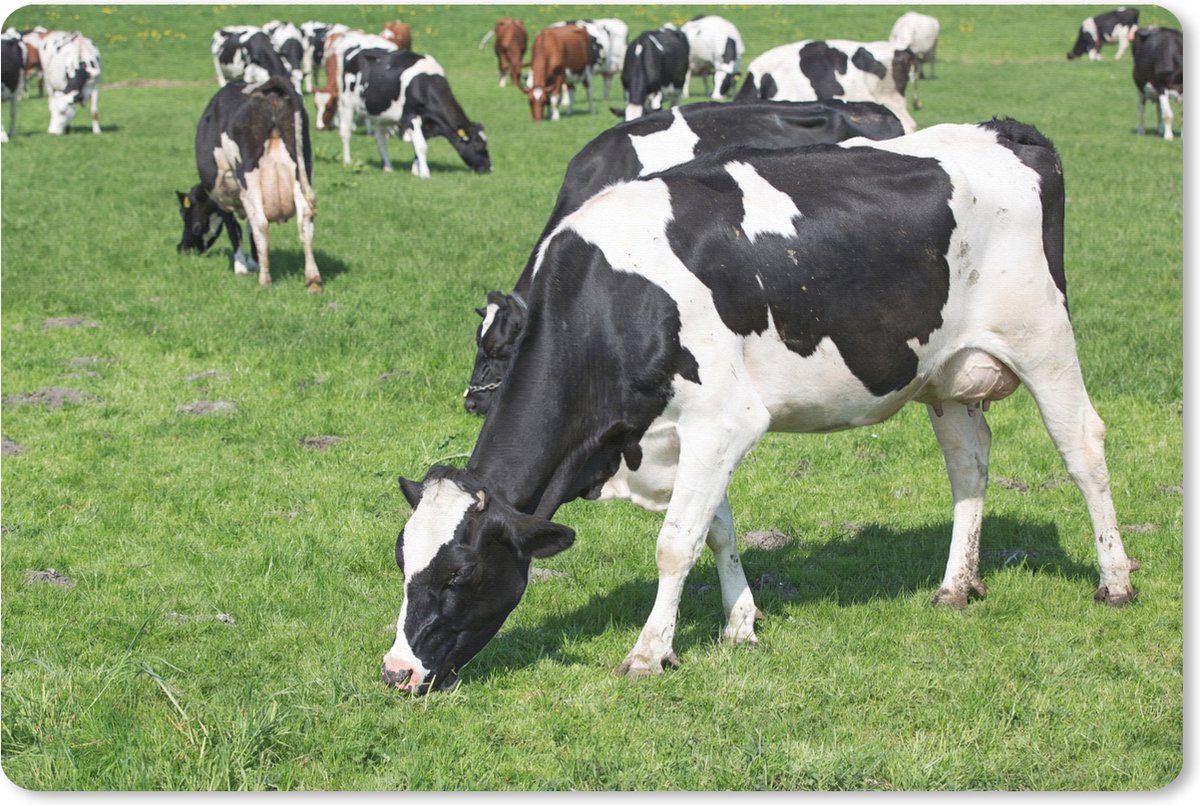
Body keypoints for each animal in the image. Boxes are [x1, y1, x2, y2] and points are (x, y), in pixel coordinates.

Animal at [176, 78, 320, 292]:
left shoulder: (224, 195)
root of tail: (271, 88)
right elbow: (248, 228)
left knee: (260, 223)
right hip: (302, 170)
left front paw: (241, 267)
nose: (183, 248)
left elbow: (235, 228)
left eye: (192, 223)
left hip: (249, 177)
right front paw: (254, 262)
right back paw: (312, 279)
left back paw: (264, 281)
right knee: (305, 220)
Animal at [335, 48, 490, 176]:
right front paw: (425, 174)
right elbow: (421, 146)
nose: (489, 168)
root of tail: (355, 54)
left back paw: (388, 167)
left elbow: (418, 146)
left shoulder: (426, 123)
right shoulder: (410, 117)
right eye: (478, 146)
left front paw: (416, 171)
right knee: (346, 133)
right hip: (346, 104)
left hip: (381, 114)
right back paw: (347, 161)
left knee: (381, 139)